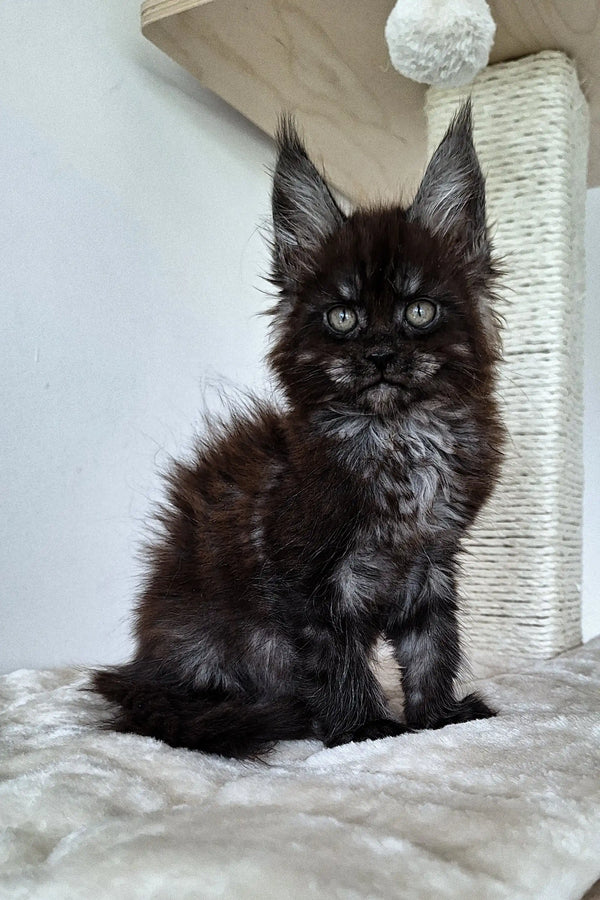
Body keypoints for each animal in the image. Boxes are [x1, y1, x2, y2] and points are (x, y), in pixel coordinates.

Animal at [94, 102, 504, 756]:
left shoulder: (431, 563)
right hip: (203, 642)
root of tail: (141, 670)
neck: (400, 441)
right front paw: (364, 727)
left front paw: (436, 716)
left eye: (419, 311)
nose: (381, 354)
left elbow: (432, 647)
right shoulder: (307, 577)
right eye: (343, 317)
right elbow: (338, 660)